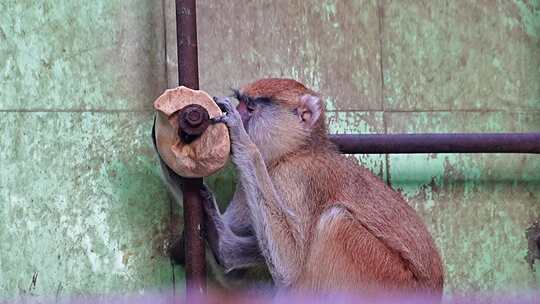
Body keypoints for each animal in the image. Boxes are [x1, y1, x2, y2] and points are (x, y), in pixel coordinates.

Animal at [152, 78, 442, 296]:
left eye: (250, 108)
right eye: (240, 101)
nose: (236, 112)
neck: (297, 149)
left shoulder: (294, 178)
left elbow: (290, 264)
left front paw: (241, 138)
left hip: (383, 275)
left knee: (335, 221)